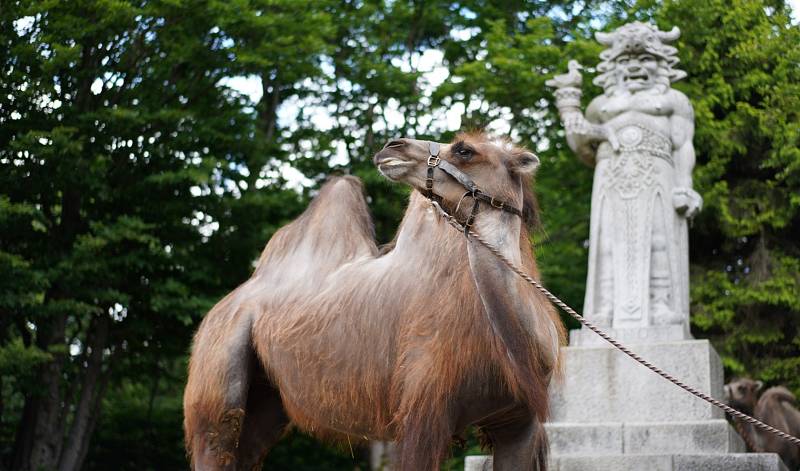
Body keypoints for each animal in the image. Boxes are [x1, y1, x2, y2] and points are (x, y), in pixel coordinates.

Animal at [184, 131, 564, 470]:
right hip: (216, 373)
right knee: (216, 438)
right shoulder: (421, 414)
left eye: (465, 150)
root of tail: (219, 310)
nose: (392, 146)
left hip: (268, 401)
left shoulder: (519, 424)